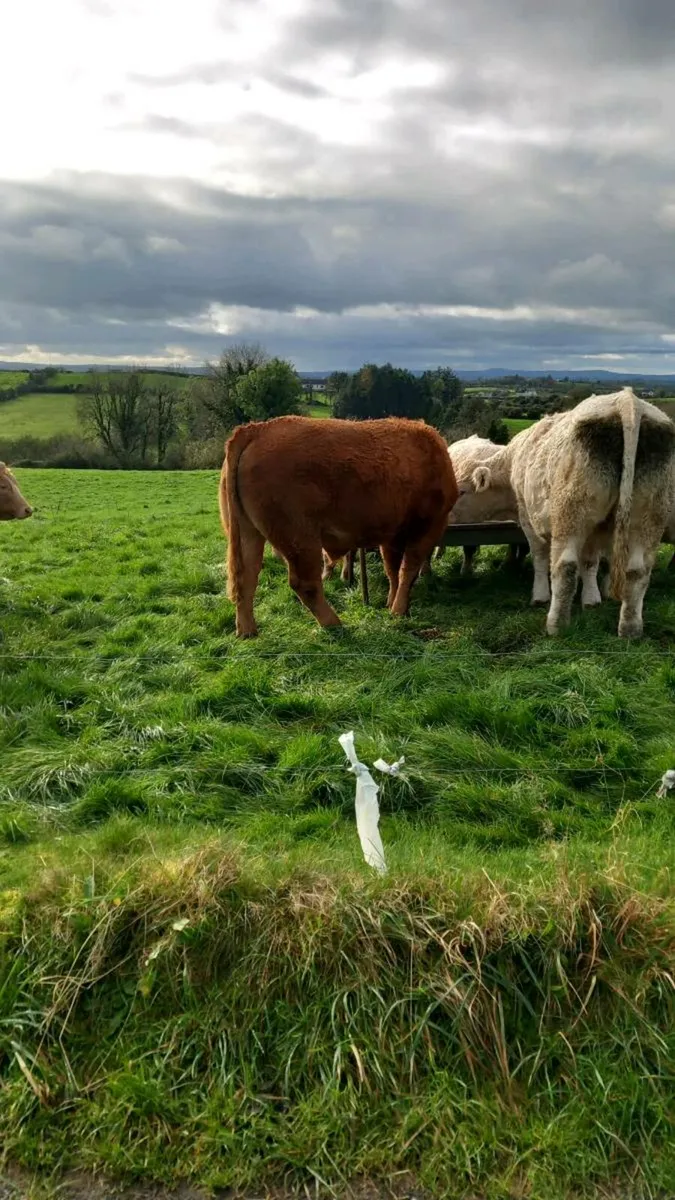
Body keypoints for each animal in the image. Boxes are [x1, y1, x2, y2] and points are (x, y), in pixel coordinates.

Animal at [221, 415, 458, 637]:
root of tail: (257, 429)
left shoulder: (392, 536)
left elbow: (393, 570)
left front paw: (391, 604)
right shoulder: (427, 527)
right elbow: (408, 571)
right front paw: (399, 610)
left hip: (249, 532)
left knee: (246, 577)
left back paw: (247, 632)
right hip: (301, 539)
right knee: (304, 583)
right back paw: (334, 624)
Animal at [469, 389, 675, 638]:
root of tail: (627, 400)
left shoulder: (527, 516)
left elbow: (540, 555)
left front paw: (540, 596)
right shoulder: (597, 529)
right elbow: (590, 561)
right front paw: (591, 601)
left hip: (571, 510)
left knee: (564, 565)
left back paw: (556, 625)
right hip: (648, 513)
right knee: (638, 570)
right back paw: (630, 630)